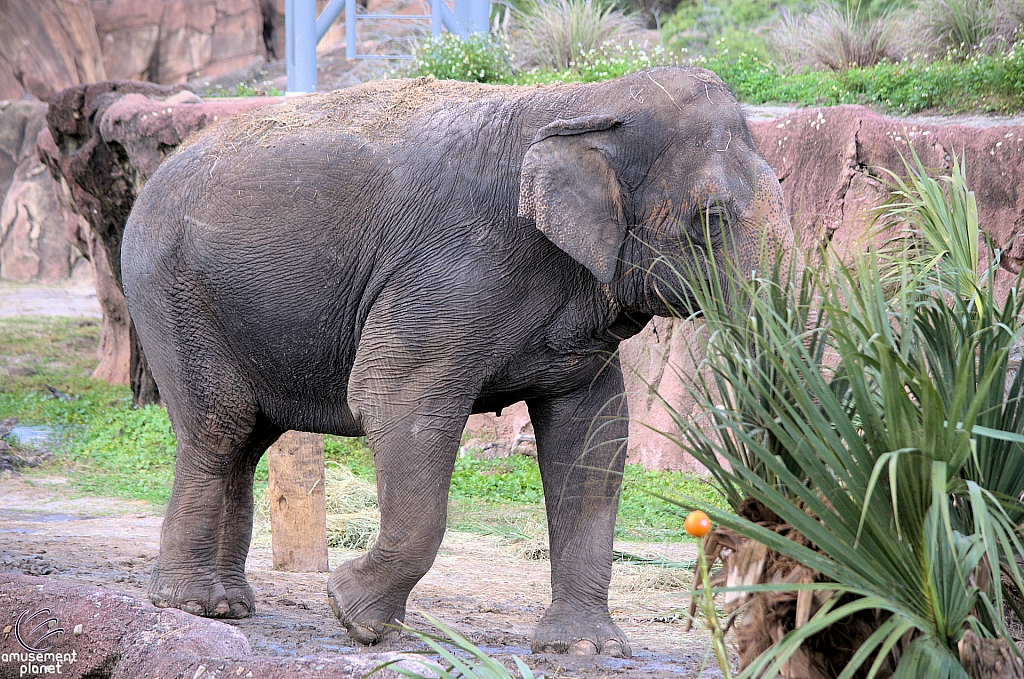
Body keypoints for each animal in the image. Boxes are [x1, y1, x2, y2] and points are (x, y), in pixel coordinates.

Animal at [121, 67, 790, 659]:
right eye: (711, 218)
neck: (587, 100)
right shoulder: (456, 267)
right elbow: (395, 395)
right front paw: (356, 619)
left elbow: (592, 434)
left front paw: (584, 649)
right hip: (171, 294)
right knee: (219, 429)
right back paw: (192, 607)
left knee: (247, 441)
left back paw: (231, 608)